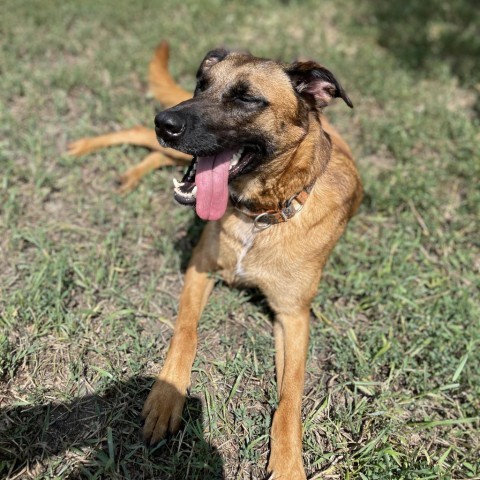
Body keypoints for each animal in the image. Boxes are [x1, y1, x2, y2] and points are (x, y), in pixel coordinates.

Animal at [69, 42, 362, 480]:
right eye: (202, 84)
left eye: (246, 98)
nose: (165, 122)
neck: (258, 217)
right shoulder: (199, 268)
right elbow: (186, 332)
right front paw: (166, 398)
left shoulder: (293, 316)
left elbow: (291, 394)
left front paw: (288, 461)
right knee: (143, 138)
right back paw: (88, 147)